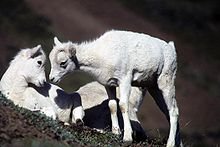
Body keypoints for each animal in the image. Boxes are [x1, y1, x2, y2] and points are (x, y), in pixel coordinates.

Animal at [49, 29, 183, 146]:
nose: (51, 78)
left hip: (166, 83)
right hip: (154, 88)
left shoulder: (125, 81)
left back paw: (170, 144)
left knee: (173, 111)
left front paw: (127, 138)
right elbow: (112, 106)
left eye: (63, 63)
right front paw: (116, 132)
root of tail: (171, 48)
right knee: (168, 112)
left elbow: (123, 105)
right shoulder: (109, 85)